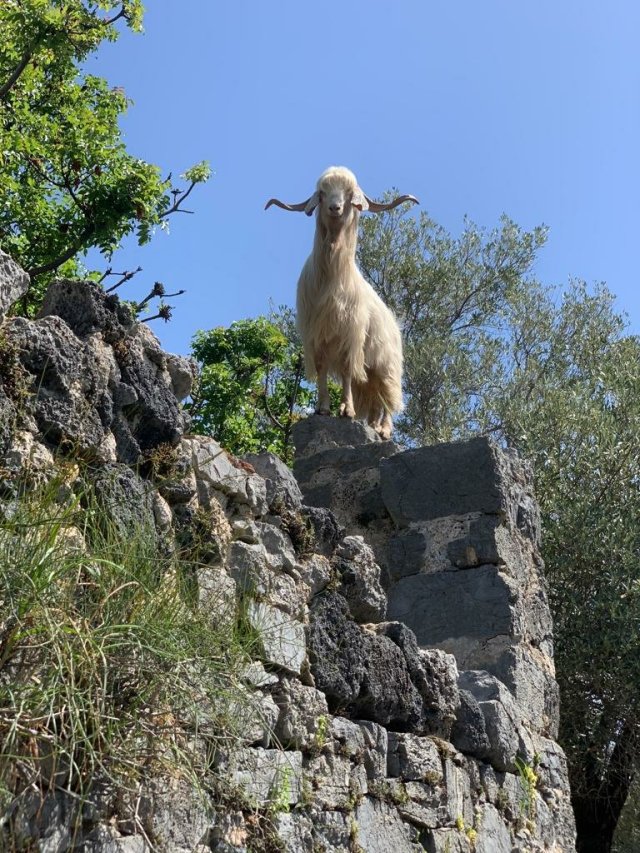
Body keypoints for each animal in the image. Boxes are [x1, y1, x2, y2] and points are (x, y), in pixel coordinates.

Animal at [265, 166, 418, 440]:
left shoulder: (351, 335)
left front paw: (346, 410)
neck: (331, 279)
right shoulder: (317, 336)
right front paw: (323, 408)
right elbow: (322, 369)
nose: (335, 208)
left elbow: (346, 371)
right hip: (370, 369)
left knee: (387, 396)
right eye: (323, 193)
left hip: (387, 365)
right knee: (374, 395)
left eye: (348, 193)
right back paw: (372, 425)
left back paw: (384, 429)